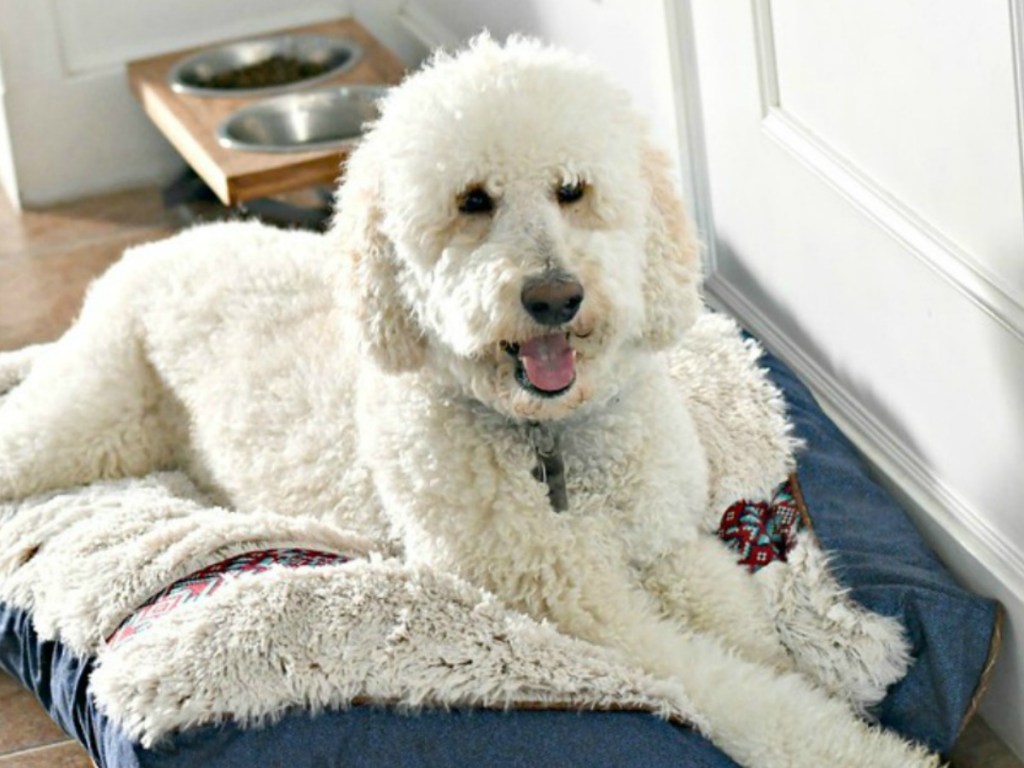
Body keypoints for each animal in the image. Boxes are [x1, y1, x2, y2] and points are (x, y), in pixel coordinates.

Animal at [0, 39, 937, 768]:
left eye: (572, 188)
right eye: (472, 201)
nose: (554, 296)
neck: (549, 440)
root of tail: (161, 247)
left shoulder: (671, 549)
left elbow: (757, 633)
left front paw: (845, 656)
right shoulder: (597, 615)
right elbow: (747, 693)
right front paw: (866, 749)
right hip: (94, 419)